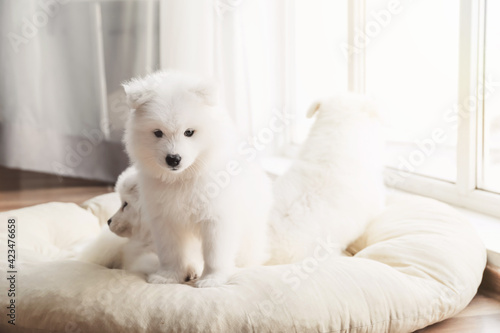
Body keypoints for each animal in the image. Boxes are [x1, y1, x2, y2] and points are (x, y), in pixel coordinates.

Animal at [122, 70, 274, 288]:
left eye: (189, 132)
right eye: (158, 133)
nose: (173, 158)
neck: (182, 178)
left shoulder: (217, 218)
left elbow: (215, 254)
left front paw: (212, 279)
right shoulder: (165, 219)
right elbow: (170, 252)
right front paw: (168, 276)